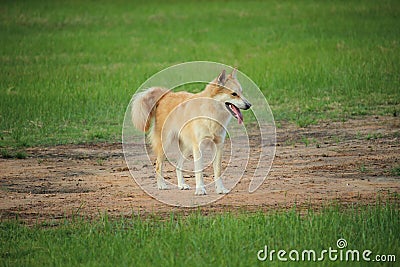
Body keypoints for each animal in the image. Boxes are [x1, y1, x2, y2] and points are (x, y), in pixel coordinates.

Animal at [131, 68, 252, 196]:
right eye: (234, 94)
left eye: (241, 92)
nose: (249, 105)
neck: (211, 112)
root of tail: (167, 95)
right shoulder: (198, 148)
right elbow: (199, 171)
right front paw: (200, 189)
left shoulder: (218, 146)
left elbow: (218, 171)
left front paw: (220, 189)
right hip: (166, 144)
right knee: (159, 164)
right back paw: (161, 185)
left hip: (187, 148)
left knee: (178, 165)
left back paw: (181, 185)